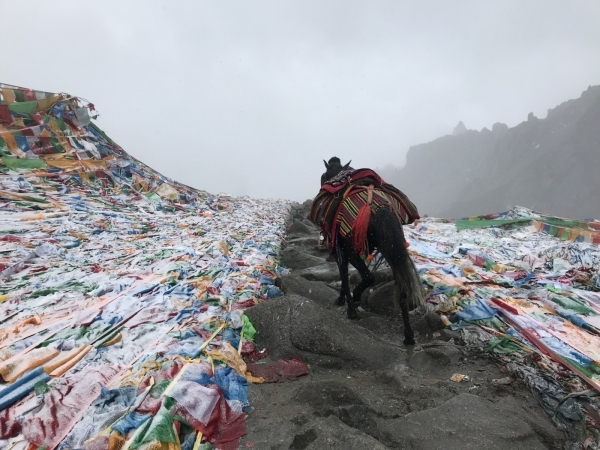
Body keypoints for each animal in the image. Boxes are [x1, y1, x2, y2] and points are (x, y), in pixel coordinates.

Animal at [312, 158, 424, 344]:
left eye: (323, 176)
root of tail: (380, 209)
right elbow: (345, 274)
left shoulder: (341, 249)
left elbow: (344, 275)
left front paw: (345, 302)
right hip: (393, 250)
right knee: (401, 286)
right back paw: (408, 336)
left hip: (353, 249)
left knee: (368, 276)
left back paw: (355, 302)